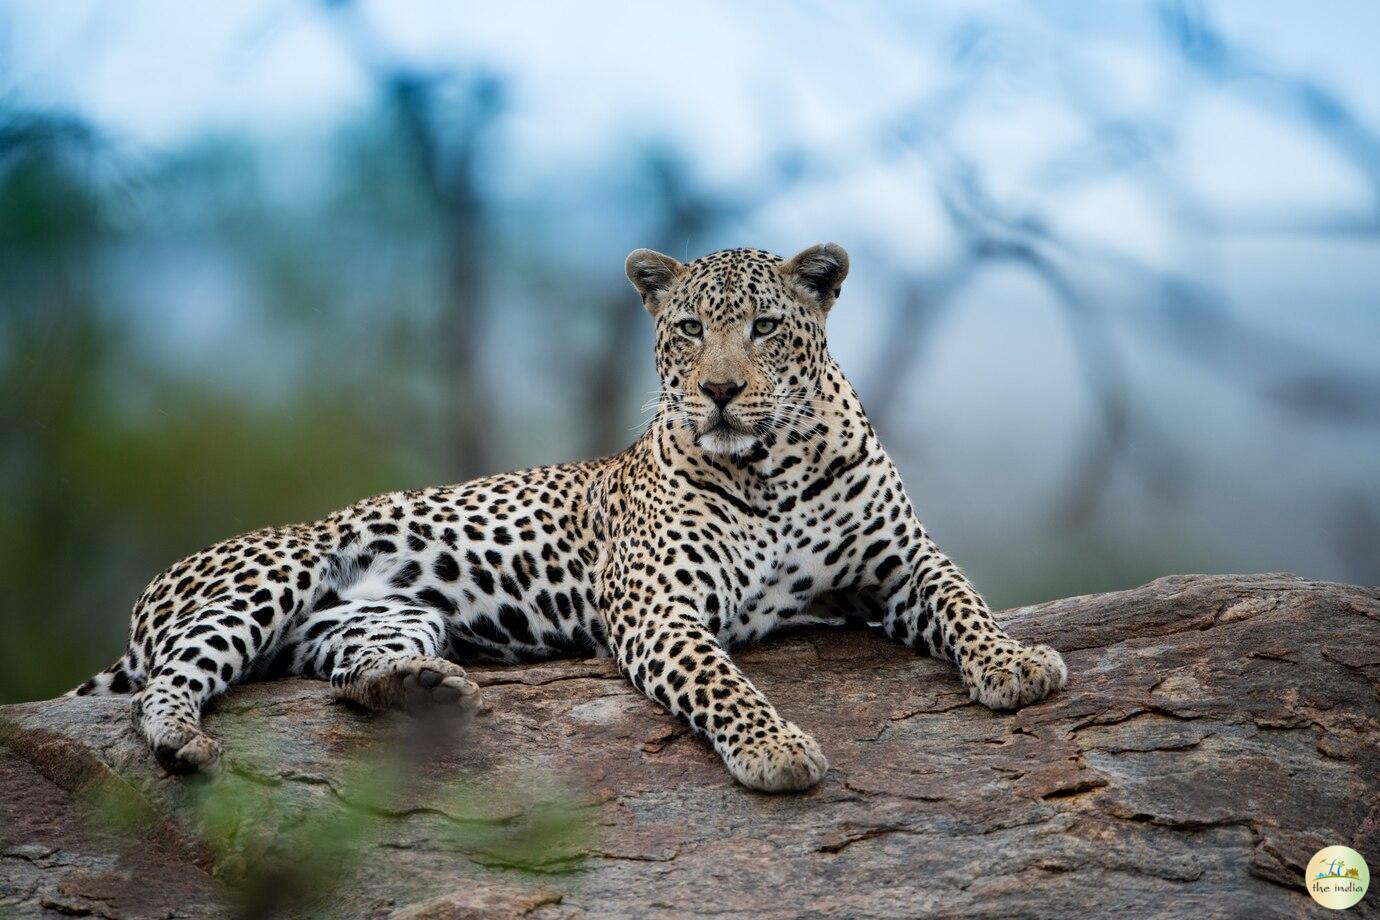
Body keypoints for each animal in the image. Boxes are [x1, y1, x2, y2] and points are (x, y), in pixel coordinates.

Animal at [72, 244, 1065, 794]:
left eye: (766, 326)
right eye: (690, 329)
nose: (719, 391)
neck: (773, 469)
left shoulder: (901, 564)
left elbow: (966, 600)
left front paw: (1016, 663)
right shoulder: (661, 608)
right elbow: (723, 682)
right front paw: (775, 747)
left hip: (378, 621)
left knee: (345, 680)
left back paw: (422, 690)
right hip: (272, 575)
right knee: (169, 685)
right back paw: (183, 742)